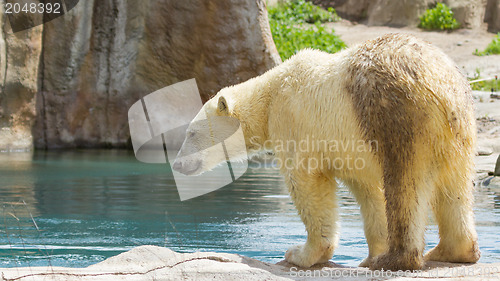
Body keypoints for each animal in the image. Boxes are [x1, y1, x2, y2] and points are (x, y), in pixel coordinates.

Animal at [172, 34, 480, 270]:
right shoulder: (352, 153)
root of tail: (442, 91)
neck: (270, 95)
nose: (177, 164)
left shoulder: (295, 123)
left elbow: (308, 184)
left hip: (398, 117)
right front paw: (373, 252)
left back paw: (396, 259)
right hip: (458, 131)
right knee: (454, 187)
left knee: (405, 184)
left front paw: (301, 254)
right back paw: (451, 251)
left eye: (191, 133)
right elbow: (369, 192)